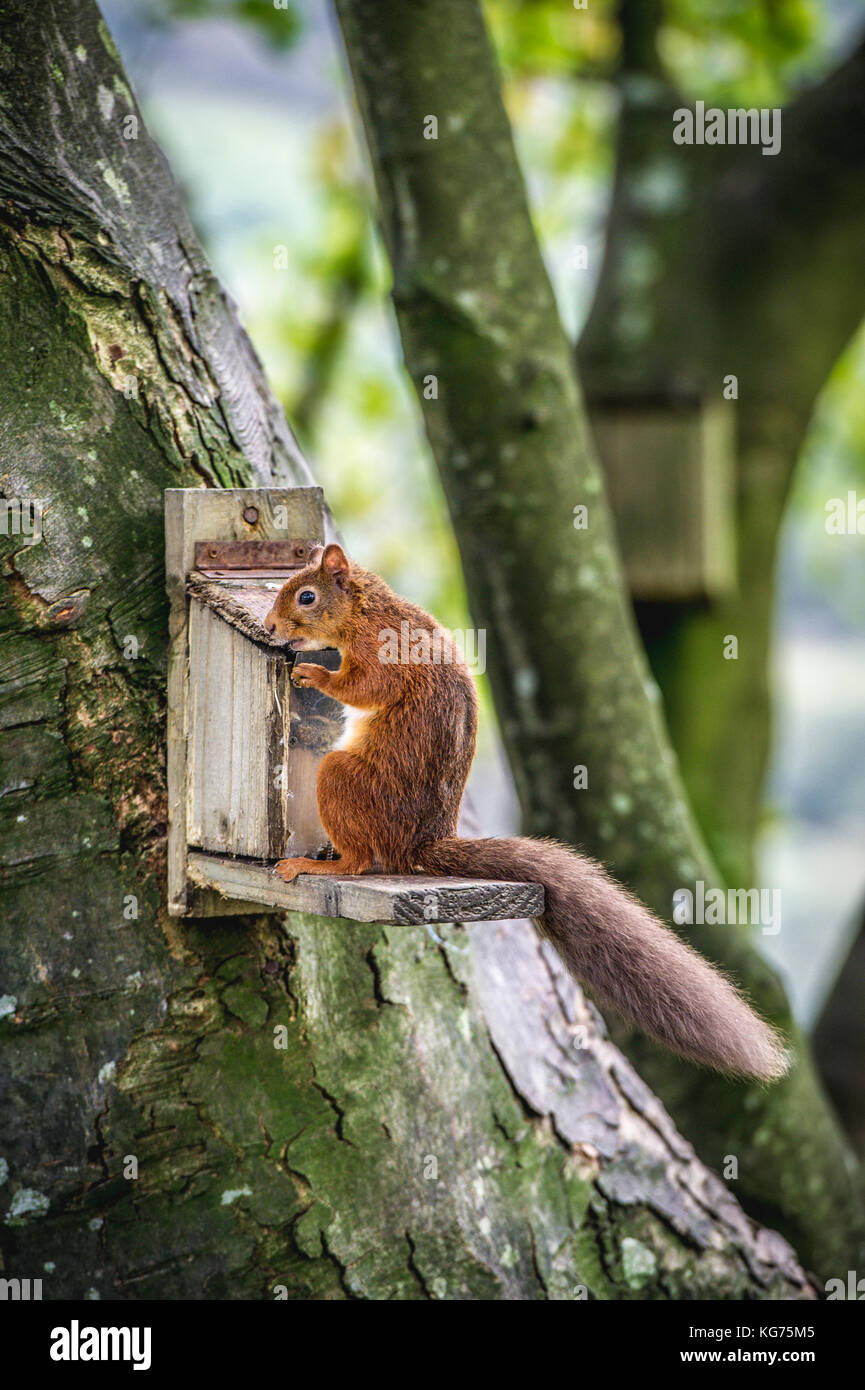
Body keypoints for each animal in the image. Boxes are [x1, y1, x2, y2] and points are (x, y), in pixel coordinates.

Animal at [265, 544, 795, 1084]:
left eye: (306, 597)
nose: (268, 627)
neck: (366, 611)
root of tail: (422, 842)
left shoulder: (385, 650)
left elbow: (366, 687)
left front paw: (315, 675)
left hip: (344, 780)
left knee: (357, 860)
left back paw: (314, 864)